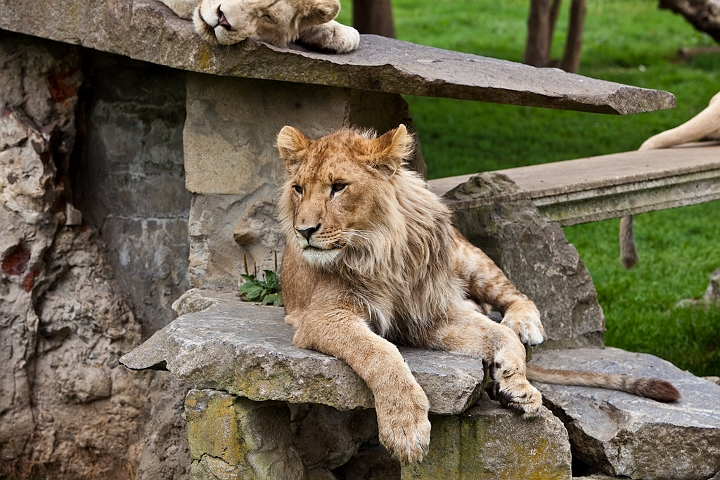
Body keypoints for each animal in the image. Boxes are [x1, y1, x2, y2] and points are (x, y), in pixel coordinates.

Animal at [277, 125, 680, 463]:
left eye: (338, 186)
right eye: (298, 189)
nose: (304, 231)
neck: (380, 250)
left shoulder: (431, 314)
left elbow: (501, 335)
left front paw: (518, 385)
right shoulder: (326, 316)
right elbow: (381, 352)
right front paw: (406, 427)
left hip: (467, 259)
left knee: (515, 296)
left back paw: (525, 326)